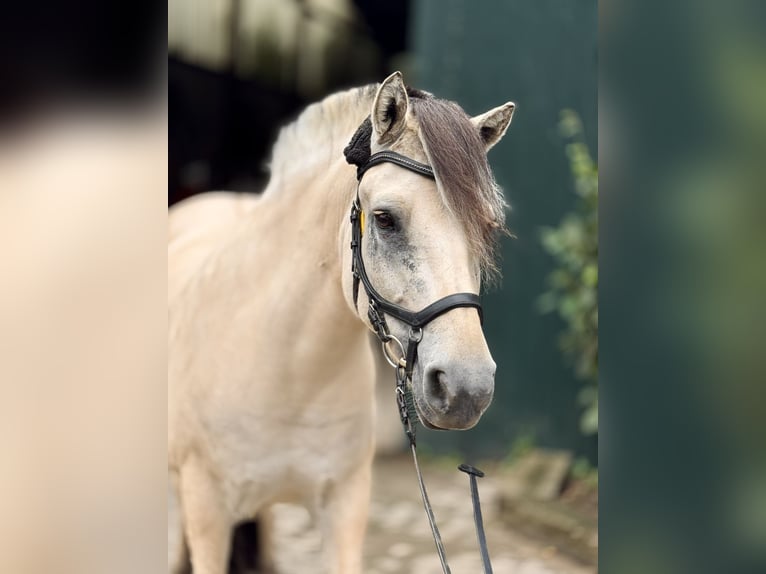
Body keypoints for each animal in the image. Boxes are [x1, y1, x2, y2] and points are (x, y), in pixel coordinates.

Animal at [168, 71, 515, 574]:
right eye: (385, 219)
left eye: (486, 228)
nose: (467, 389)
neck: (287, 376)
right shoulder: (206, 510)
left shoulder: (346, 507)